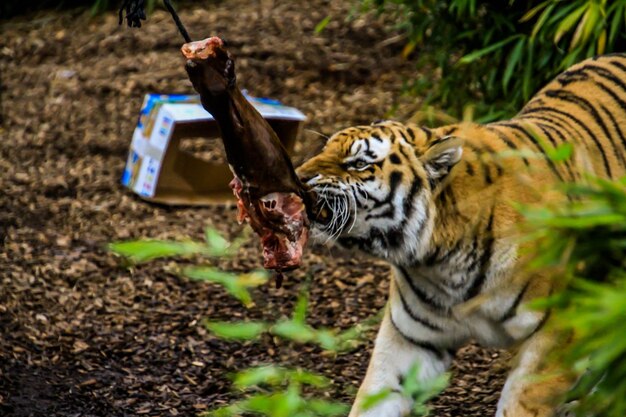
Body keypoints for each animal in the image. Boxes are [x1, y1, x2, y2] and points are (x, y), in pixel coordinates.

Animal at [294, 52, 624, 416]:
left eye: (358, 164)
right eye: (323, 150)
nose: (297, 178)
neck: (439, 260)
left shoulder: (558, 332)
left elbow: (521, 403)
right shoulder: (410, 340)